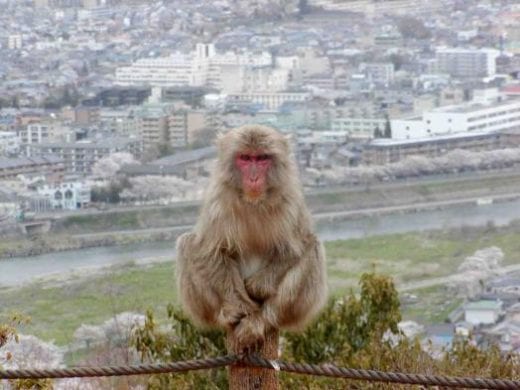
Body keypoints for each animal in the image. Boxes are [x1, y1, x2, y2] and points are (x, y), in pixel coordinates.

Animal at [177, 125, 328, 354]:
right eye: (246, 158)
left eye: (262, 158)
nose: (254, 178)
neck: (254, 202)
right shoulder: (217, 201)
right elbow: (211, 250)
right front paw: (239, 305)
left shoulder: (291, 200)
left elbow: (296, 248)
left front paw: (257, 286)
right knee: (186, 245)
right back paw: (226, 315)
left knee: (314, 248)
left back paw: (262, 320)